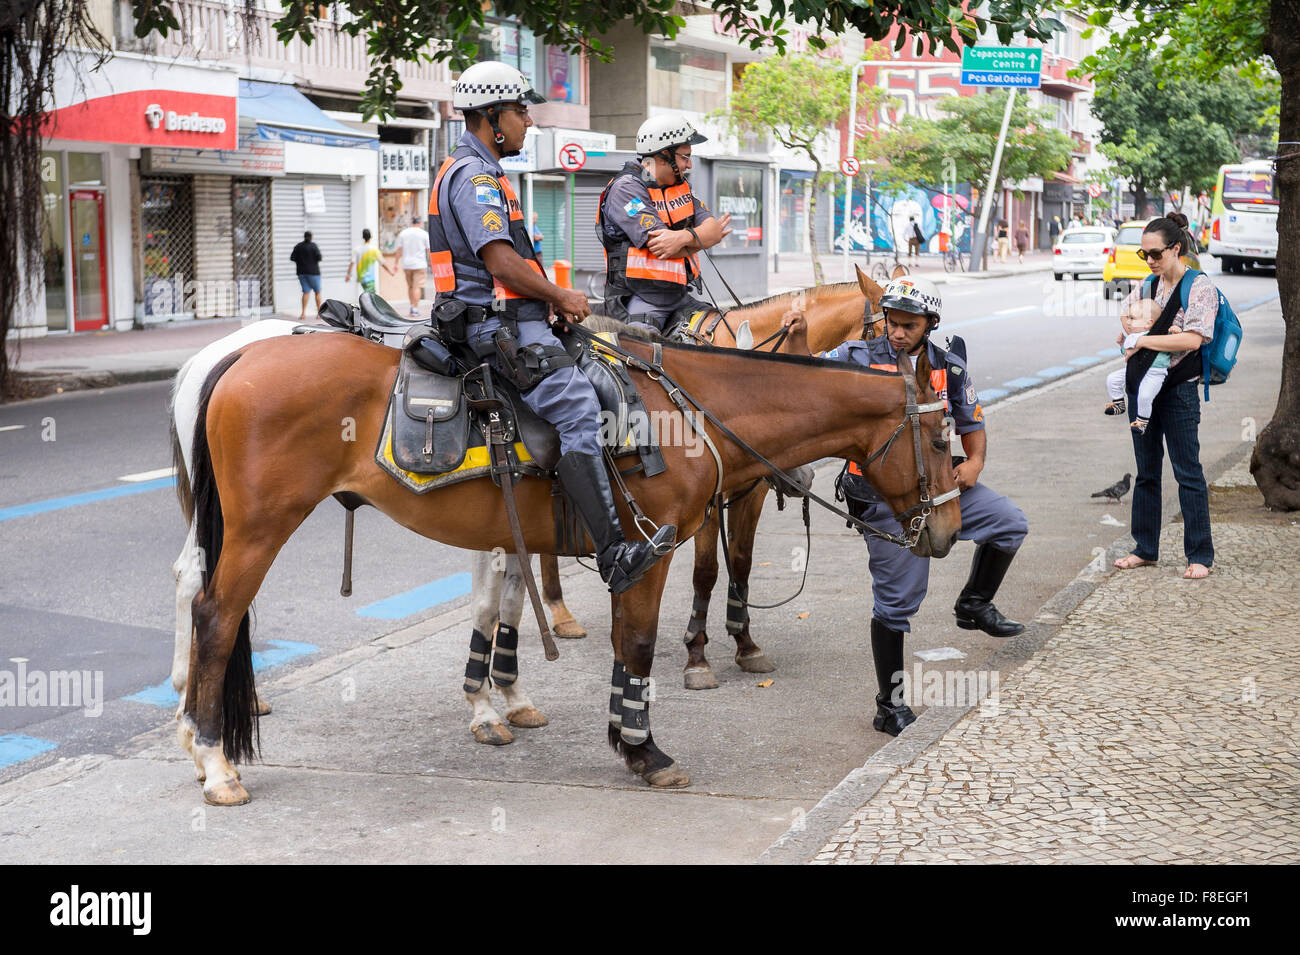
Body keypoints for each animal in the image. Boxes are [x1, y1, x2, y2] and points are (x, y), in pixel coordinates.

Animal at [183, 324, 961, 805]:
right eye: (940, 440)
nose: (950, 530)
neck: (689, 409)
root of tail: (241, 357)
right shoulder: (649, 553)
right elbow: (639, 644)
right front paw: (646, 752)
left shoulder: (627, 557)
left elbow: (621, 648)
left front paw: (622, 736)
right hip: (259, 530)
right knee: (215, 617)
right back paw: (215, 759)